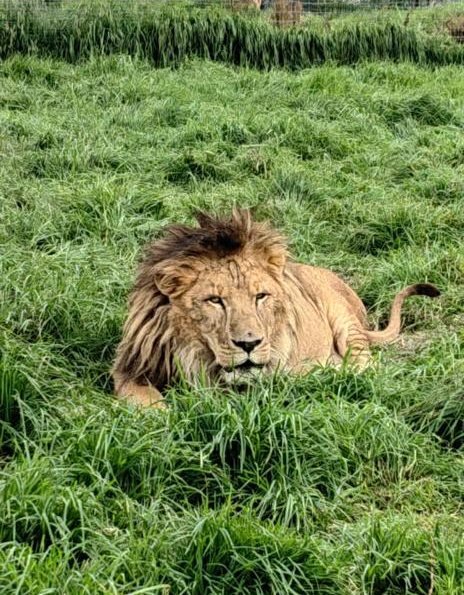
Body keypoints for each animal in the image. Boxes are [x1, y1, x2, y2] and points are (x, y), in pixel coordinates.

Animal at [111, 207, 438, 408]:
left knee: (365, 368)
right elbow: (145, 400)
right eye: (215, 300)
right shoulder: (130, 368)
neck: (194, 356)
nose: (249, 344)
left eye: (260, 297)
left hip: (345, 323)